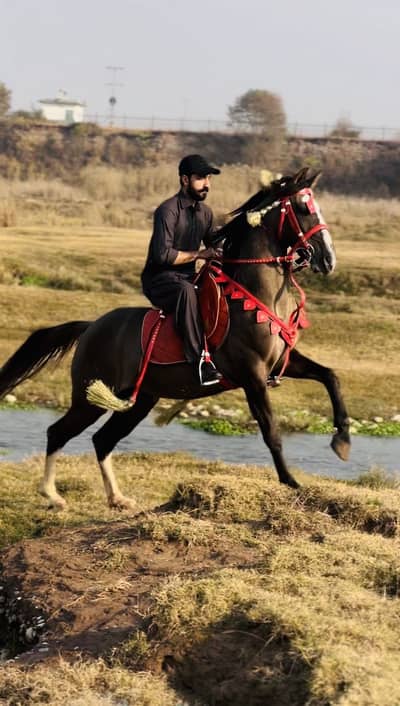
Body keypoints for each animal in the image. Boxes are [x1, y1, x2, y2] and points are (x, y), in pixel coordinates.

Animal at [0, 168, 350, 510]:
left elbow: (330, 376)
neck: (254, 295)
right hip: (90, 397)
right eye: (303, 208)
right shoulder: (252, 376)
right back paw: (51, 494)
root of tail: (90, 327)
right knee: (58, 432)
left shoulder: (279, 364)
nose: (328, 260)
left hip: (139, 400)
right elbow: (271, 431)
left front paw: (342, 441)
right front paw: (290, 482)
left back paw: (116, 497)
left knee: (102, 439)